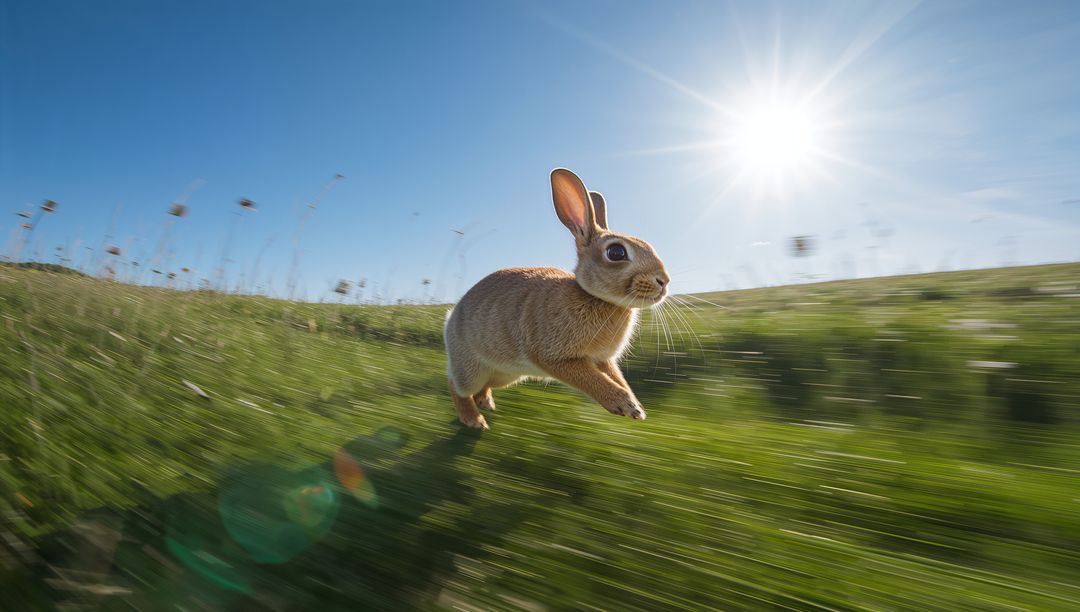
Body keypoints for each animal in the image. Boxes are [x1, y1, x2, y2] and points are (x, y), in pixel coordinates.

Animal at [443, 168, 670, 430]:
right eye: (616, 252)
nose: (664, 281)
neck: (594, 297)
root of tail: (451, 318)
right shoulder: (554, 357)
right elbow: (594, 380)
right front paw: (626, 405)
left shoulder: (603, 360)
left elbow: (616, 378)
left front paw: (636, 407)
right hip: (471, 368)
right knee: (457, 386)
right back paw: (474, 420)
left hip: (507, 374)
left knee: (484, 386)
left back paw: (487, 403)